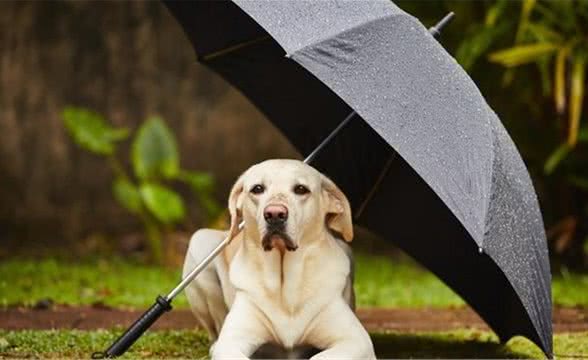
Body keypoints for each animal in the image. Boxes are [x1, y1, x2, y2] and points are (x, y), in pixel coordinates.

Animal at [184, 159, 374, 358]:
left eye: (301, 189)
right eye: (257, 188)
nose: (275, 214)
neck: (284, 286)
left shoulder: (356, 341)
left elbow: (320, 356)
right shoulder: (231, 342)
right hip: (199, 243)